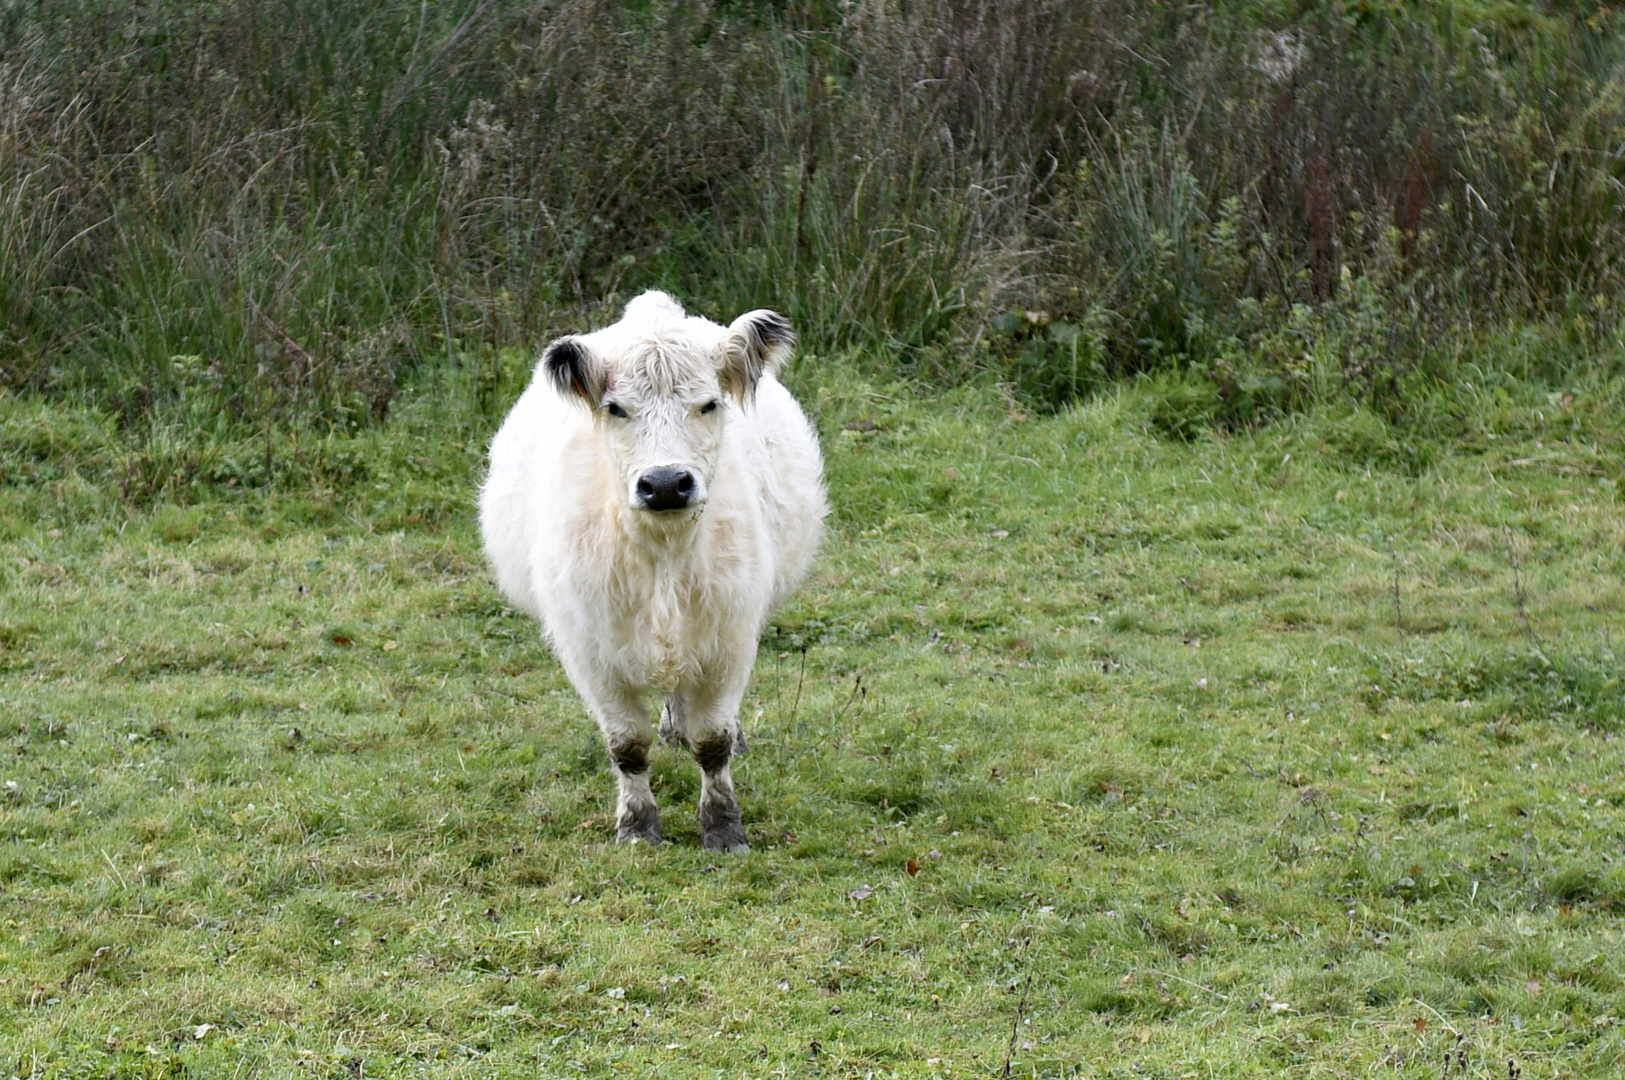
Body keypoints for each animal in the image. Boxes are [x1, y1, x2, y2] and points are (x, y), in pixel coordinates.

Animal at [474, 290, 819, 844]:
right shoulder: (590, 652)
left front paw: (723, 827)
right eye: (616, 409)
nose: (664, 484)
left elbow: (713, 741)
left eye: (709, 403)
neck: (663, 558)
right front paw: (637, 826)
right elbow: (627, 746)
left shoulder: (730, 637)